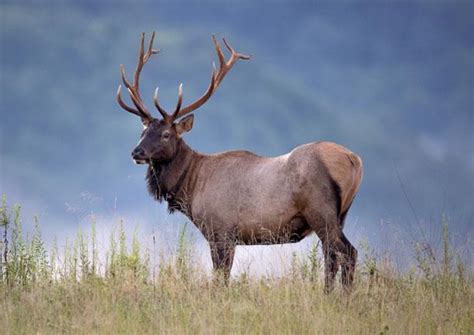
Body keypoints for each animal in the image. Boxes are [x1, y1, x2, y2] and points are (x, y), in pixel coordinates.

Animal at [117, 32, 362, 294]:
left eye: (165, 134)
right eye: (143, 131)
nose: (136, 152)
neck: (191, 187)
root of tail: (354, 160)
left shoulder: (220, 230)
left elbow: (221, 277)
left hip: (321, 210)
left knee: (347, 252)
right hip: (339, 215)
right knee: (333, 255)